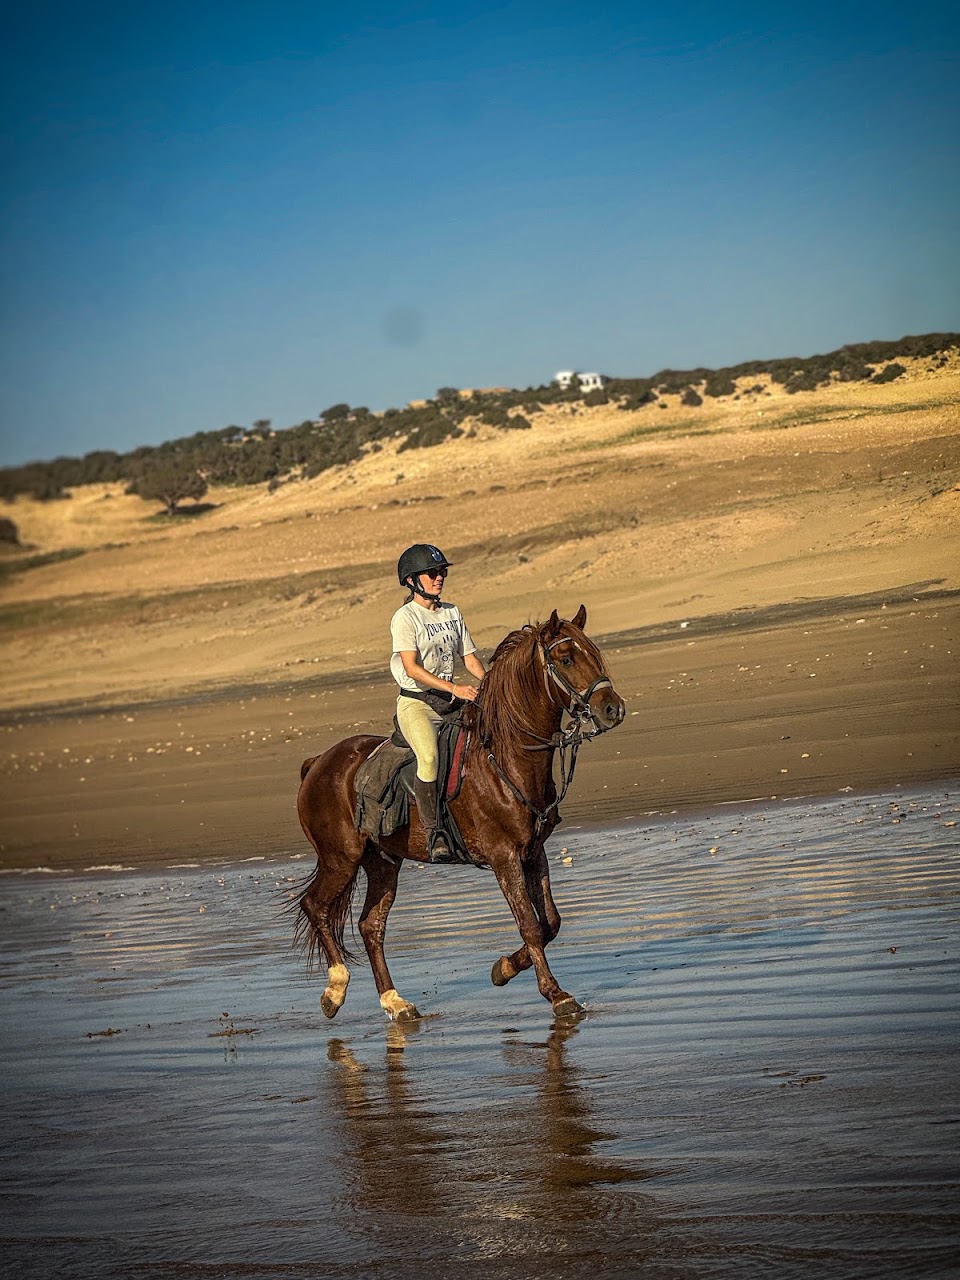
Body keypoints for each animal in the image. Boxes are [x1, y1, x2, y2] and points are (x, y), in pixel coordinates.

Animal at [295, 604, 625, 1022]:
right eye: (566, 659)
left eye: (594, 654)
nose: (613, 709)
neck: (505, 757)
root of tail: (318, 762)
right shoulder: (504, 857)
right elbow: (530, 926)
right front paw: (557, 995)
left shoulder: (534, 852)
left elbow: (550, 922)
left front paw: (503, 969)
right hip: (341, 858)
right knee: (315, 907)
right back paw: (335, 990)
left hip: (383, 862)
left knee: (371, 926)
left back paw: (395, 1002)